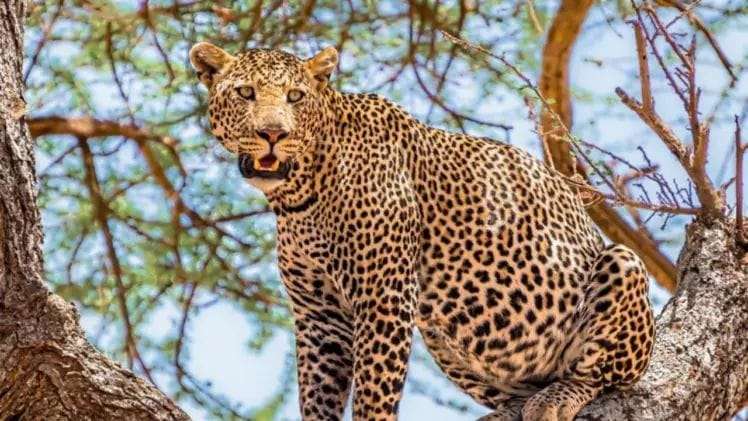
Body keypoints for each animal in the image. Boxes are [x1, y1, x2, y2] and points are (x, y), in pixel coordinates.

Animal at [190, 43, 652, 420]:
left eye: (295, 97)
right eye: (246, 93)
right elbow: (316, 394)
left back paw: (557, 398)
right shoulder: (319, 315)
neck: (299, 194)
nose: (273, 133)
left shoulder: (384, 296)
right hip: (445, 339)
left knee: (603, 375)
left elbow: (373, 395)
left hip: (622, 267)